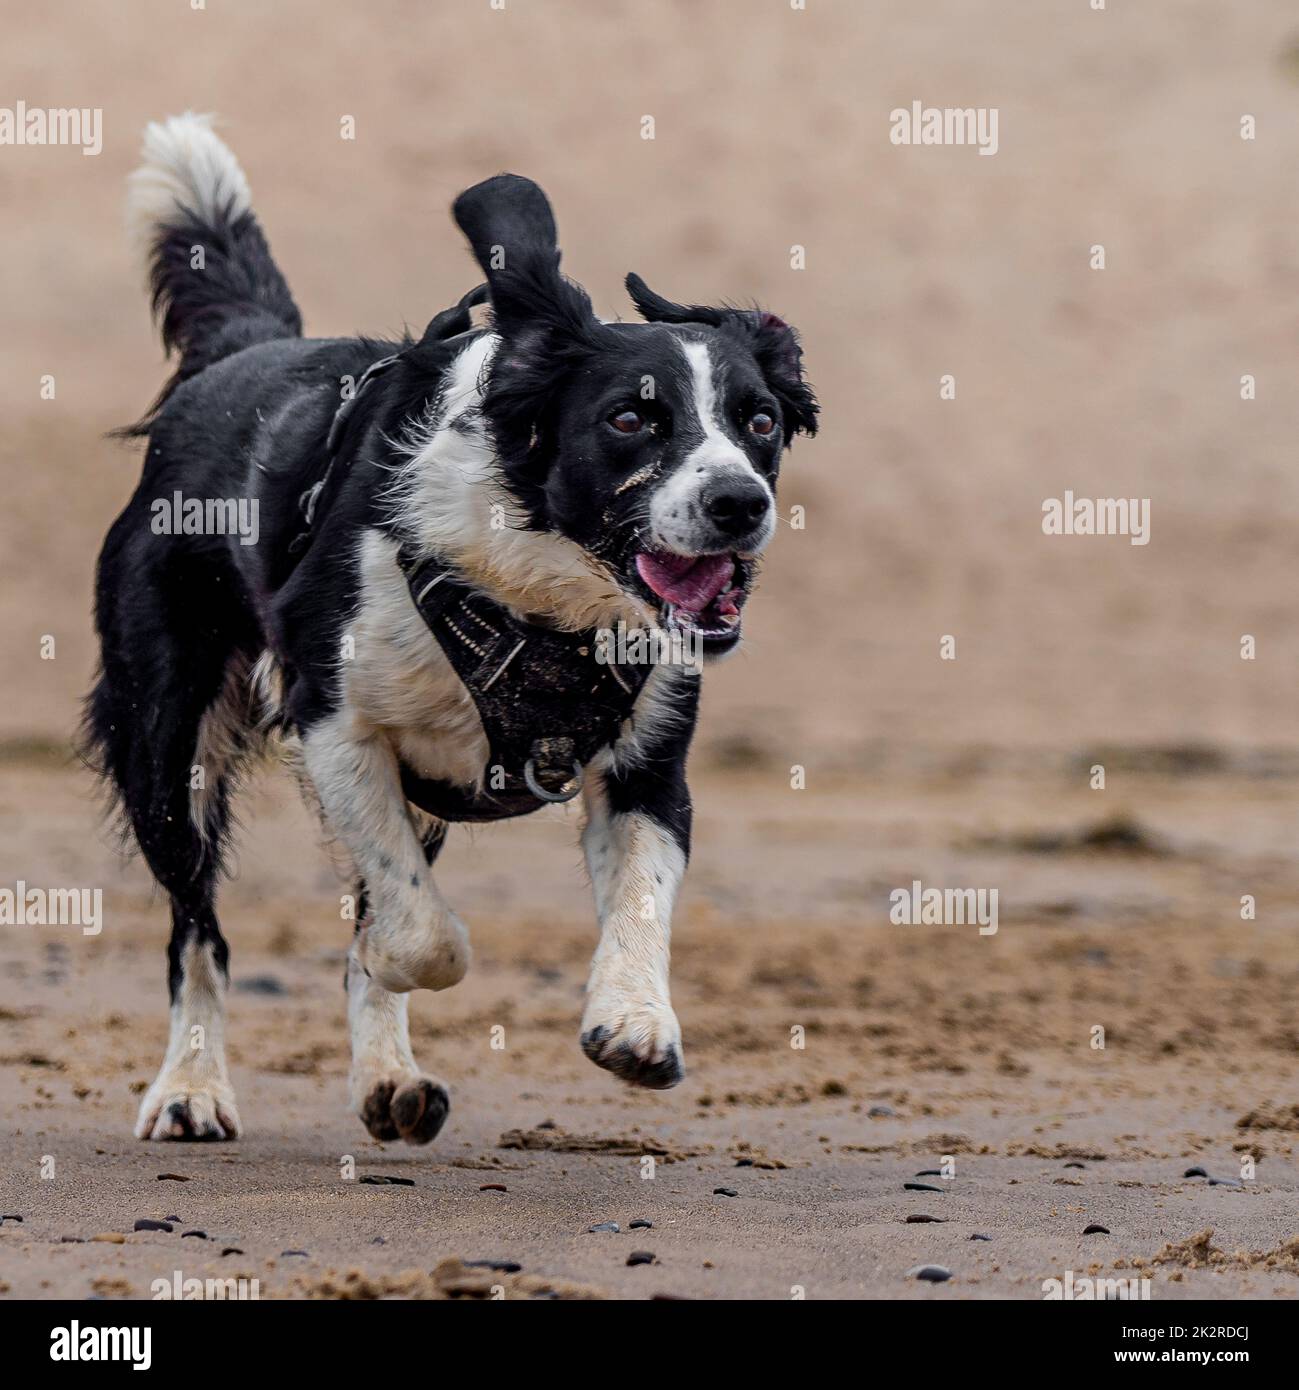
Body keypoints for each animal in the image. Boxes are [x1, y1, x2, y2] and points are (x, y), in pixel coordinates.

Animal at [86, 116, 816, 1139]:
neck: (540, 588)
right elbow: (420, 935)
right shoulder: (334, 721)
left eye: (758, 422)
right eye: (629, 418)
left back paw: (387, 1079)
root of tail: (235, 358)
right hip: (166, 740)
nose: (739, 504)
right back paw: (191, 1087)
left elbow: (638, 895)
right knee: (198, 930)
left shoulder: (648, 762)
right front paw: (403, 958)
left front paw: (633, 1022)